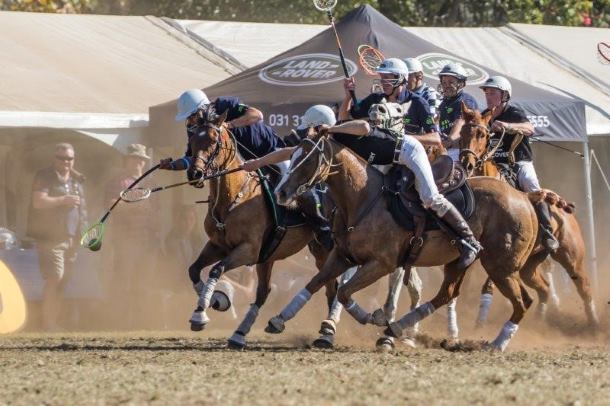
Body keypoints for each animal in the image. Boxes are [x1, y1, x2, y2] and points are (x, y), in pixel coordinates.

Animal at [264, 128, 536, 350]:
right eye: (294, 155)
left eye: (308, 160)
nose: (281, 192)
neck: (362, 197)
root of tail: (525, 199)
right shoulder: (342, 255)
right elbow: (315, 283)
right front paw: (279, 319)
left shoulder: (381, 264)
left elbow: (344, 291)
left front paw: (374, 317)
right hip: (460, 263)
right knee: (447, 294)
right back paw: (397, 328)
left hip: (500, 266)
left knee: (523, 302)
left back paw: (497, 344)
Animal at [458, 103, 596, 328]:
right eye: (461, 132)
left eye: (482, 134)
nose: (467, 164)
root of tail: (565, 208)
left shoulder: (500, 254)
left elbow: (488, 285)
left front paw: (480, 320)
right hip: (531, 263)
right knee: (544, 287)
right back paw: (540, 320)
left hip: (571, 256)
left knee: (584, 287)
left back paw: (594, 323)